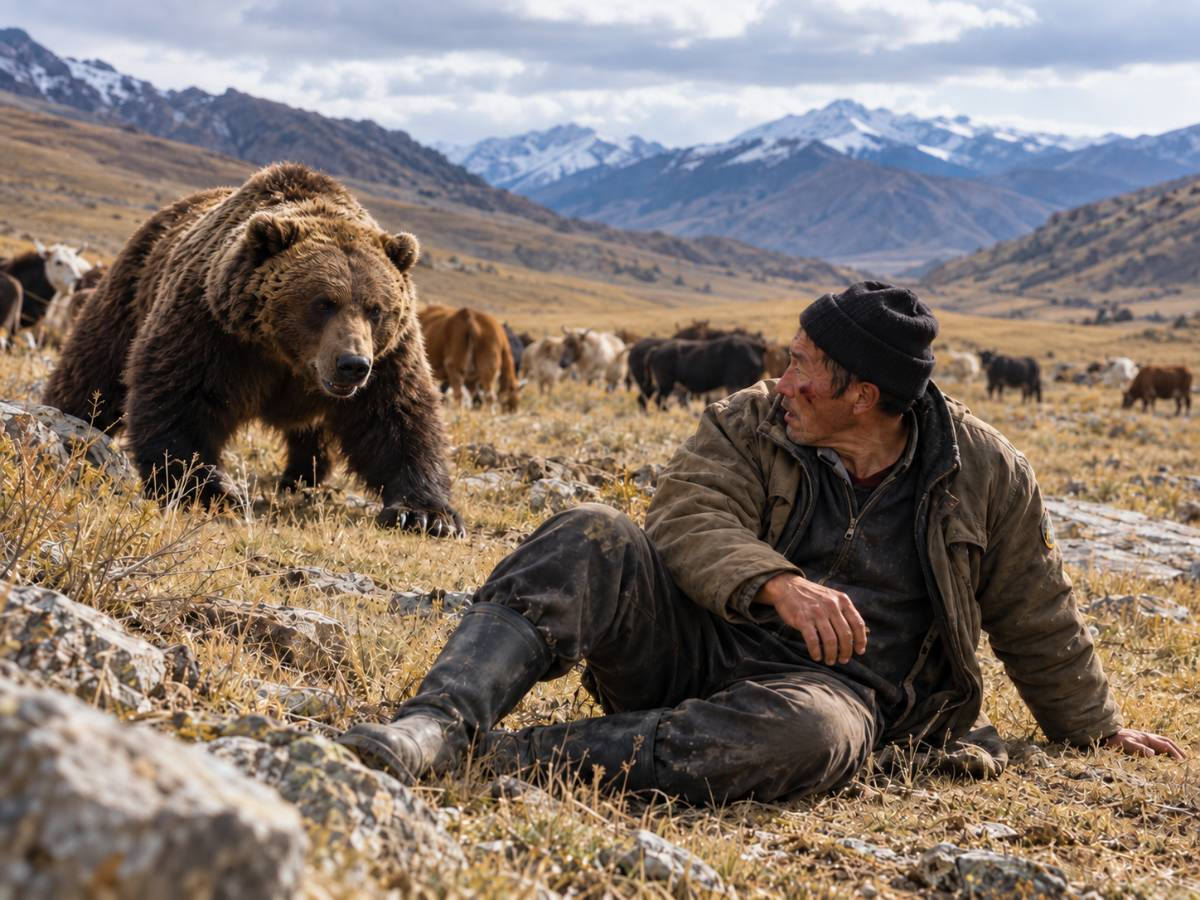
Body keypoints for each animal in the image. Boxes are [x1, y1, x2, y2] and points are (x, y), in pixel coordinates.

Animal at [43, 162, 464, 537]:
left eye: (376, 309)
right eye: (323, 302)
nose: (352, 364)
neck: (286, 354)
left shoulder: (391, 354)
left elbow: (399, 417)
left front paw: (426, 515)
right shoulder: (213, 329)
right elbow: (179, 396)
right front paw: (211, 491)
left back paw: (301, 477)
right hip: (132, 285)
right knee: (95, 366)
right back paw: (66, 418)